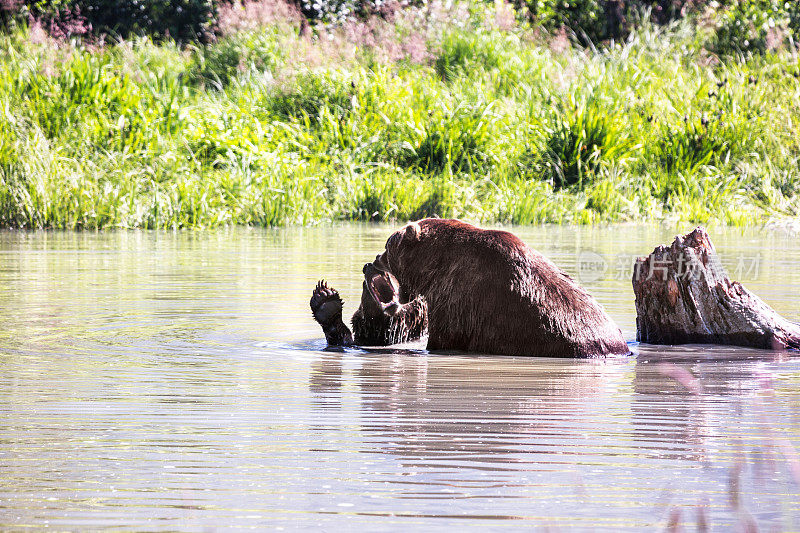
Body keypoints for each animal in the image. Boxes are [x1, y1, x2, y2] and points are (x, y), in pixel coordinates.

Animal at [370, 216, 632, 358]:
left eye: (388, 245)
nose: (375, 258)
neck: (435, 266)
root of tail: (621, 349)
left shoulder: (458, 299)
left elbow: (445, 338)